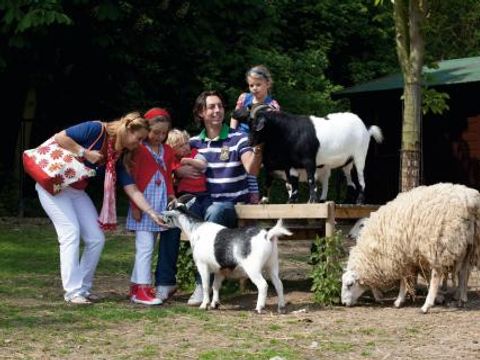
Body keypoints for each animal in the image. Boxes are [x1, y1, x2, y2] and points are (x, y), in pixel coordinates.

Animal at [161, 201, 290, 314]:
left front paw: (204, 305)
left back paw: (259, 308)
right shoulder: (220, 270)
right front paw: (215, 304)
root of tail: (267, 235)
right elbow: (216, 286)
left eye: (169, 211)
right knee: (279, 284)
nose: (162, 220)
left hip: (253, 268)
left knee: (263, 285)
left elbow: (206, 286)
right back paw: (281, 308)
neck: (196, 229)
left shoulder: (203, 265)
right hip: (272, 265)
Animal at [232, 105, 382, 204]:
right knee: (350, 180)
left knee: (362, 178)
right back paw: (346, 202)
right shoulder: (291, 164)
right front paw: (292, 201)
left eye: (257, 126)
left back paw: (359, 201)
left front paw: (313, 200)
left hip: (360, 155)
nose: (249, 142)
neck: (290, 132)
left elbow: (311, 179)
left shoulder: (309, 160)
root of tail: (366, 128)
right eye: (248, 123)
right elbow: (293, 182)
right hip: (347, 162)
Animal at [342, 183, 480, 312]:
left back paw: (427, 306)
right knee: (464, 271)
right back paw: (461, 299)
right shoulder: (409, 257)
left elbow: (404, 280)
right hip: (469, 245)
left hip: (439, 244)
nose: (343, 303)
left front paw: (399, 300)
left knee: (437, 275)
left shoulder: (401, 256)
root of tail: (470, 201)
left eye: (350, 284)